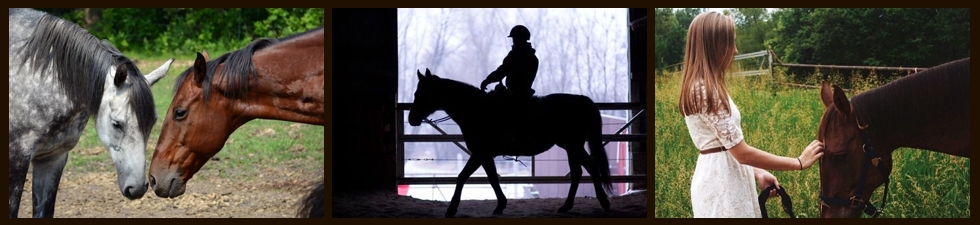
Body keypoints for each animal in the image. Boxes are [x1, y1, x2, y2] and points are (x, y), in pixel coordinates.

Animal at [408, 69, 612, 218]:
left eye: (421, 93)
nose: (411, 119)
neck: (476, 110)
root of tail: (581, 99)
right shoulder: (485, 155)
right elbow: (492, 178)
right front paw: (500, 205)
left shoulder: (480, 154)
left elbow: (462, 177)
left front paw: (452, 209)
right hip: (570, 146)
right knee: (578, 172)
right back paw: (567, 206)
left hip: (574, 146)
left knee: (590, 168)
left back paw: (603, 202)